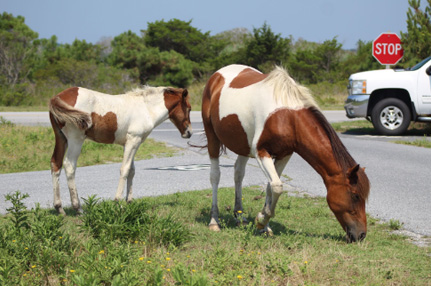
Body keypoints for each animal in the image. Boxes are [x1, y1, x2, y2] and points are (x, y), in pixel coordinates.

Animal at [49, 86, 192, 213]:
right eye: (189, 108)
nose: (189, 133)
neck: (146, 108)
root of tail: (57, 97)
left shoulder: (129, 143)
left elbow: (132, 170)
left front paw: (129, 201)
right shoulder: (133, 140)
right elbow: (125, 169)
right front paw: (118, 202)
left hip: (61, 138)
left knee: (56, 163)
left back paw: (59, 208)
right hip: (76, 140)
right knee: (69, 166)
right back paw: (78, 208)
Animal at [202, 65, 372, 244]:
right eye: (355, 196)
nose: (361, 235)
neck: (288, 117)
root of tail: (216, 75)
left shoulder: (284, 154)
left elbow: (270, 186)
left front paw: (265, 226)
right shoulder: (261, 152)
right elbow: (277, 186)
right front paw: (261, 220)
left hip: (243, 146)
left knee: (238, 174)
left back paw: (240, 217)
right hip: (212, 136)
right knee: (215, 176)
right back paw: (214, 221)